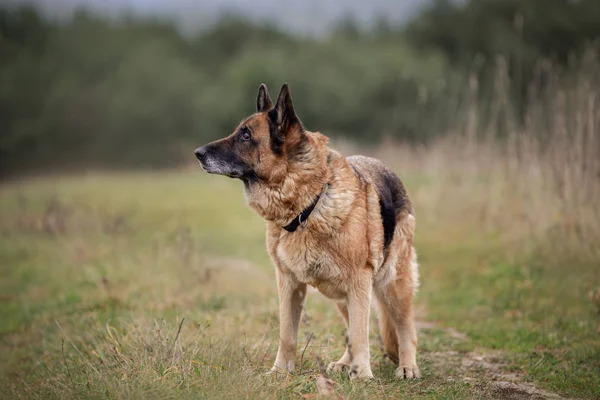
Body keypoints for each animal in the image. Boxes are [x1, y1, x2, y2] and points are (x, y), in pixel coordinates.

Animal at [195, 83, 420, 378]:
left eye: (245, 135)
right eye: (239, 131)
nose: (197, 153)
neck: (307, 205)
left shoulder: (359, 283)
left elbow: (362, 334)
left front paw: (362, 375)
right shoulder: (288, 284)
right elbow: (288, 335)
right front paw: (280, 372)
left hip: (393, 285)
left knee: (405, 327)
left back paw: (407, 366)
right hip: (341, 293)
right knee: (352, 329)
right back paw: (344, 363)